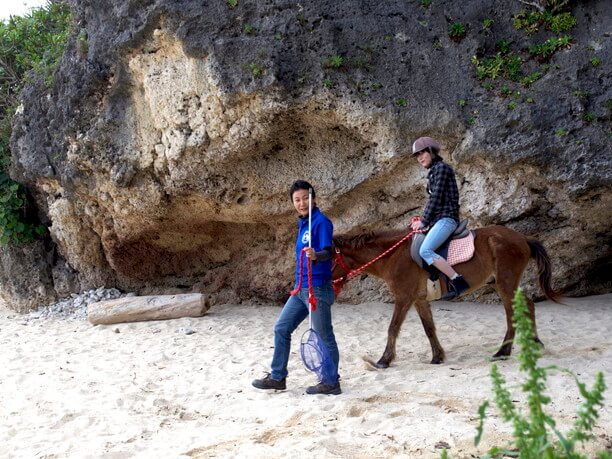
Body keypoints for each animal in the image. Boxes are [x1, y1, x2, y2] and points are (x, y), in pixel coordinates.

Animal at [332, 226, 560, 370]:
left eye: (328, 258)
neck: (393, 256)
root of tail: (522, 238)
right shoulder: (419, 300)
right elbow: (429, 328)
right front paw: (437, 356)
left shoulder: (404, 297)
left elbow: (393, 328)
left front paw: (384, 360)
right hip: (501, 283)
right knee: (526, 306)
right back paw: (528, 344)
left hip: (505, 283)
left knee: (516, 311)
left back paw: (505, 351)